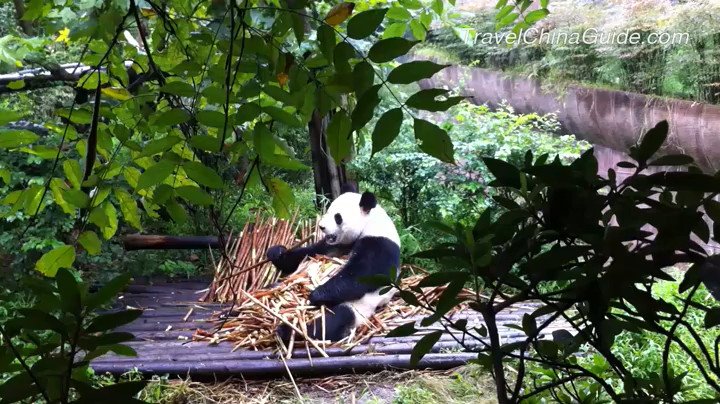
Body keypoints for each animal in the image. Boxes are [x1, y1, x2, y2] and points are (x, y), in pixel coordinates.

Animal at [266, 184, 401, 342]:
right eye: (328, 211)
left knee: (334, 320)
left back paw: (288, 330)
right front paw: (276, 252)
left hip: (358, 306)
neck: (370, 222)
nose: (321, 226)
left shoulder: (380, 243)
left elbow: (366, 274)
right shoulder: (335, 246)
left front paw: (316, 295)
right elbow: (308, 254)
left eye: (338, 217)